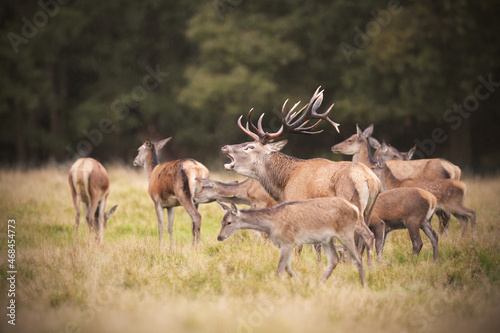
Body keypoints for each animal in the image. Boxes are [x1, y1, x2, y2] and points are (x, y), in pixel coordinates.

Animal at [217, 197, 370, 286]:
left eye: (229, 222)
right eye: (221, 221)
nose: (219, 237)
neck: (271, 225)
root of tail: (356, 209)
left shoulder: (287, 241)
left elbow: (280, 269)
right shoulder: (288, 244)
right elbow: (288, 267)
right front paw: (300, 283)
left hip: (346, 232)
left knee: (358, 257)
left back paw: (363, 285)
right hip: (327, 239)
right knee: (334, 259)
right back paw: (318, 285)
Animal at [223, 87, 378, 264]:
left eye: (249, 146)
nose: (225, 147)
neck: (285, 184)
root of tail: (370, 179)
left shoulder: (296, 203)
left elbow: (300, 245)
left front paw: (297, 263)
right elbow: (317, 245)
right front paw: (319, 265)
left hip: (352, 203)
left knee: (368, 236)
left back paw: (370, 267)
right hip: (368, 210)